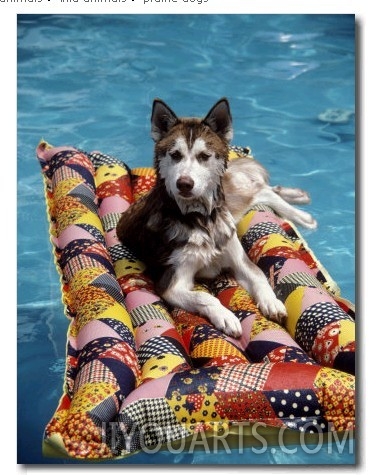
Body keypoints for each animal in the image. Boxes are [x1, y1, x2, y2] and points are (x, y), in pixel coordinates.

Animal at [116, 98, 318, 338]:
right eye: (175, 155)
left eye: (204, 156)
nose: (184, 184)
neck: (202, 219)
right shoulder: (172, 282)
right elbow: (204, 296)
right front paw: (226, 316)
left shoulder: (239, 259)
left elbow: (259, 275)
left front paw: (271, 301)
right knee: (261, 191)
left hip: (231, 204)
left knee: (261, 189)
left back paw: (301, 211)